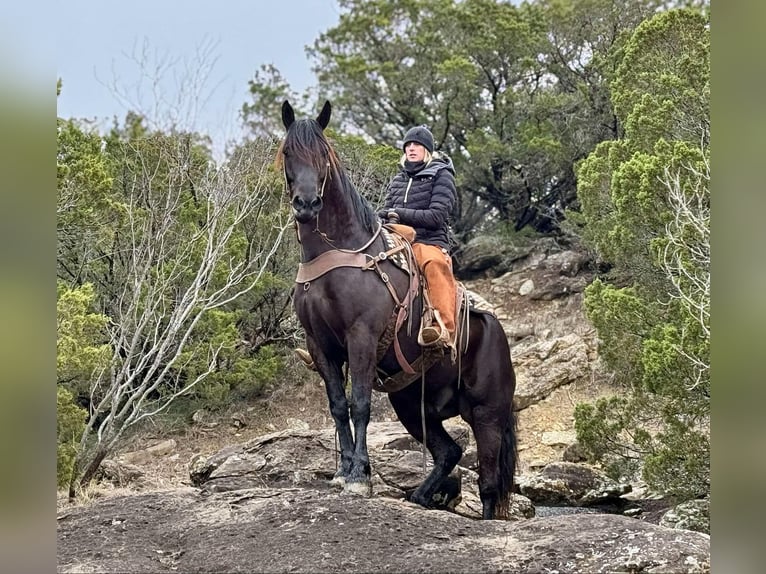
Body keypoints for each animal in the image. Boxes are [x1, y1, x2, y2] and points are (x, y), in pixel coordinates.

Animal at [278, 100, 517, 520]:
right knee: (449, 452)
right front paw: (342, 472)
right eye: (289, 152)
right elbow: (338, 406)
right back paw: (419, 497)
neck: (338, 251)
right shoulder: (320, 345)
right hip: (411, 405)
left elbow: (359, 405)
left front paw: (360, 476)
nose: (306, 204)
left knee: (489, 483)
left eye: (324, 154)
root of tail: (496, 331)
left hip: (488, 412)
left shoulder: (361, 337)